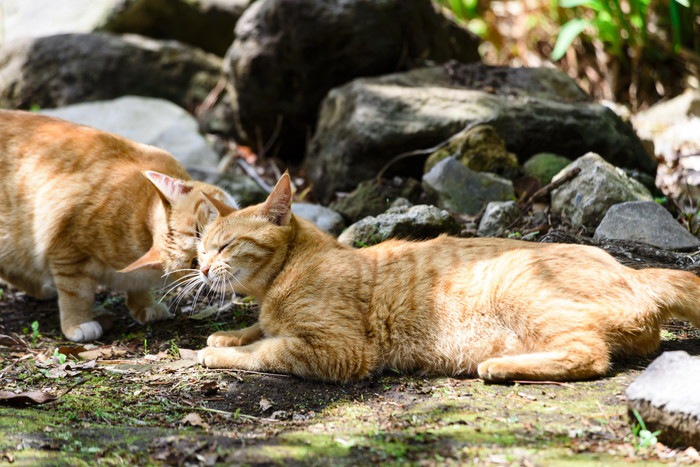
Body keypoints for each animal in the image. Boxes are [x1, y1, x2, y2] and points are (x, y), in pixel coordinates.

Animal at [0, 111, 238, 342]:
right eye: (194, 262)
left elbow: (137, 285)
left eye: (200, 229)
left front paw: (145, 305)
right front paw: (77, 323)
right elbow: (75, 293)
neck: (141, 219)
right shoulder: (66, 251)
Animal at [194, 176, 700, 384]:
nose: (199, 268)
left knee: (590, 354)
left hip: (520, 285)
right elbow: (260, 331)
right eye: (201, 248)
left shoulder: (338, 350)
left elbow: (268, 350)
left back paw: (500, 366)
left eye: (225, 246)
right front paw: (230, 334)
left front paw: (215, 352)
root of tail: (633, 271)